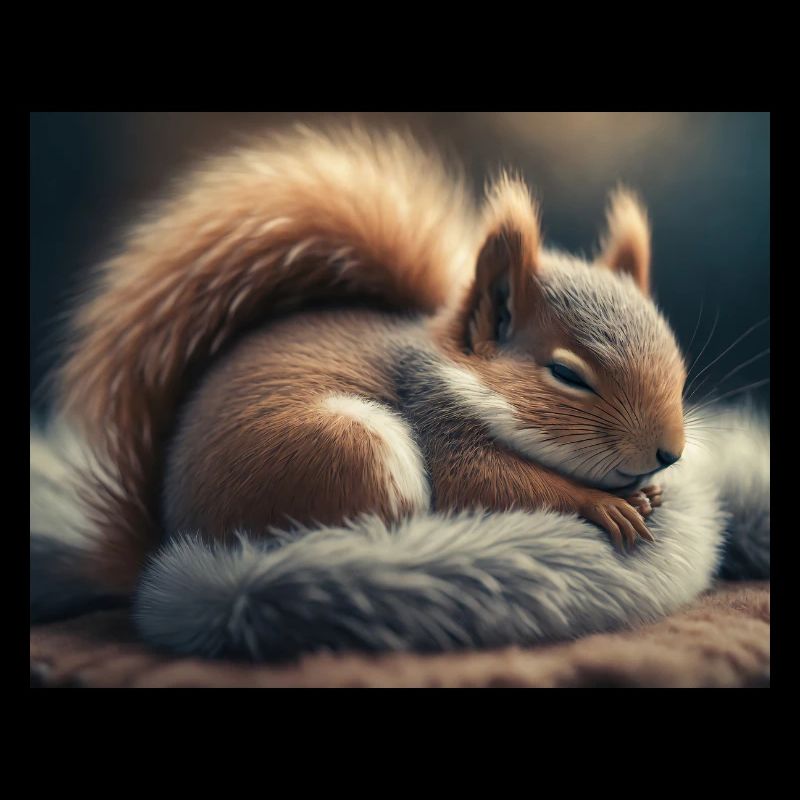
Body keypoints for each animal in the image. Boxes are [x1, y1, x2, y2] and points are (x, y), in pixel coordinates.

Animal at [56, 124, 687, 596]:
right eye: (566, 375)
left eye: (677, 367)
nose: (670, 454)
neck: (458, 375)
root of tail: (170, 543)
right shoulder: (439, 427)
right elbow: (491, 486)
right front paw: (602, 504)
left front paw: (649, 493)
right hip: (347, 449)